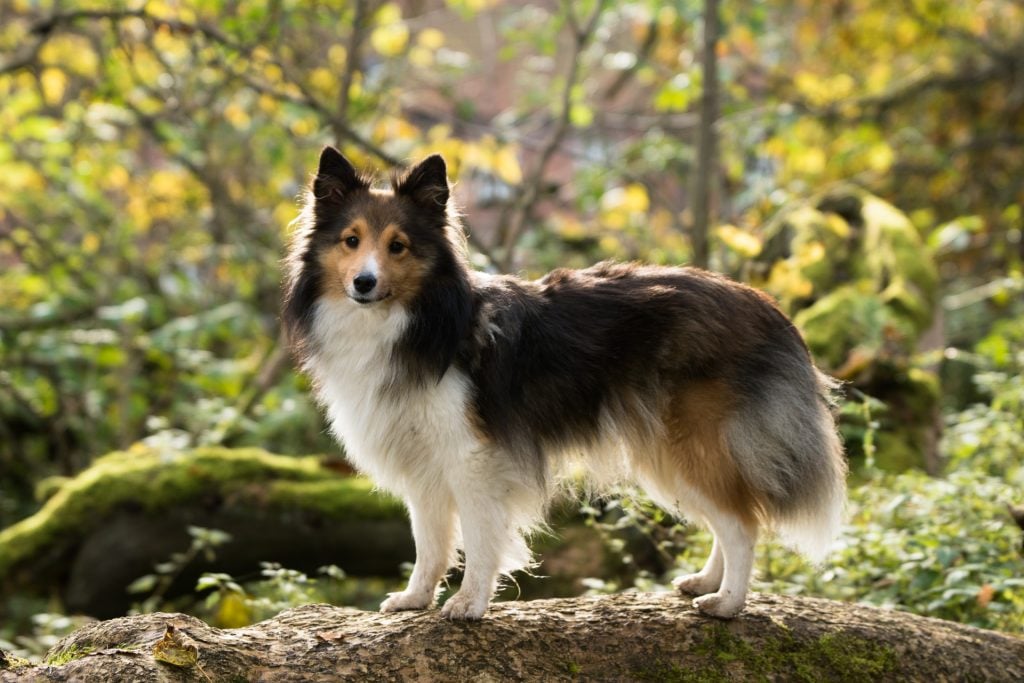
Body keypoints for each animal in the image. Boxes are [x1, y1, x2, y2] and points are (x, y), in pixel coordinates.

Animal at [282, 148, 847, 618]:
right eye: (351, 241)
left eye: (397, 246)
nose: (364, 283)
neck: (418, 321)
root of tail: (767, 306)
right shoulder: (423, 463)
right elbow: (430, 542)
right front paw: (415, 599)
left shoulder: (472, 458)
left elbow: (479, 539)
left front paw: (469, 604)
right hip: (668, 452)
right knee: (727, 517)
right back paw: (706, 583)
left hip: (692, 443)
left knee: (743, 522)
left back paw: (726, 604)